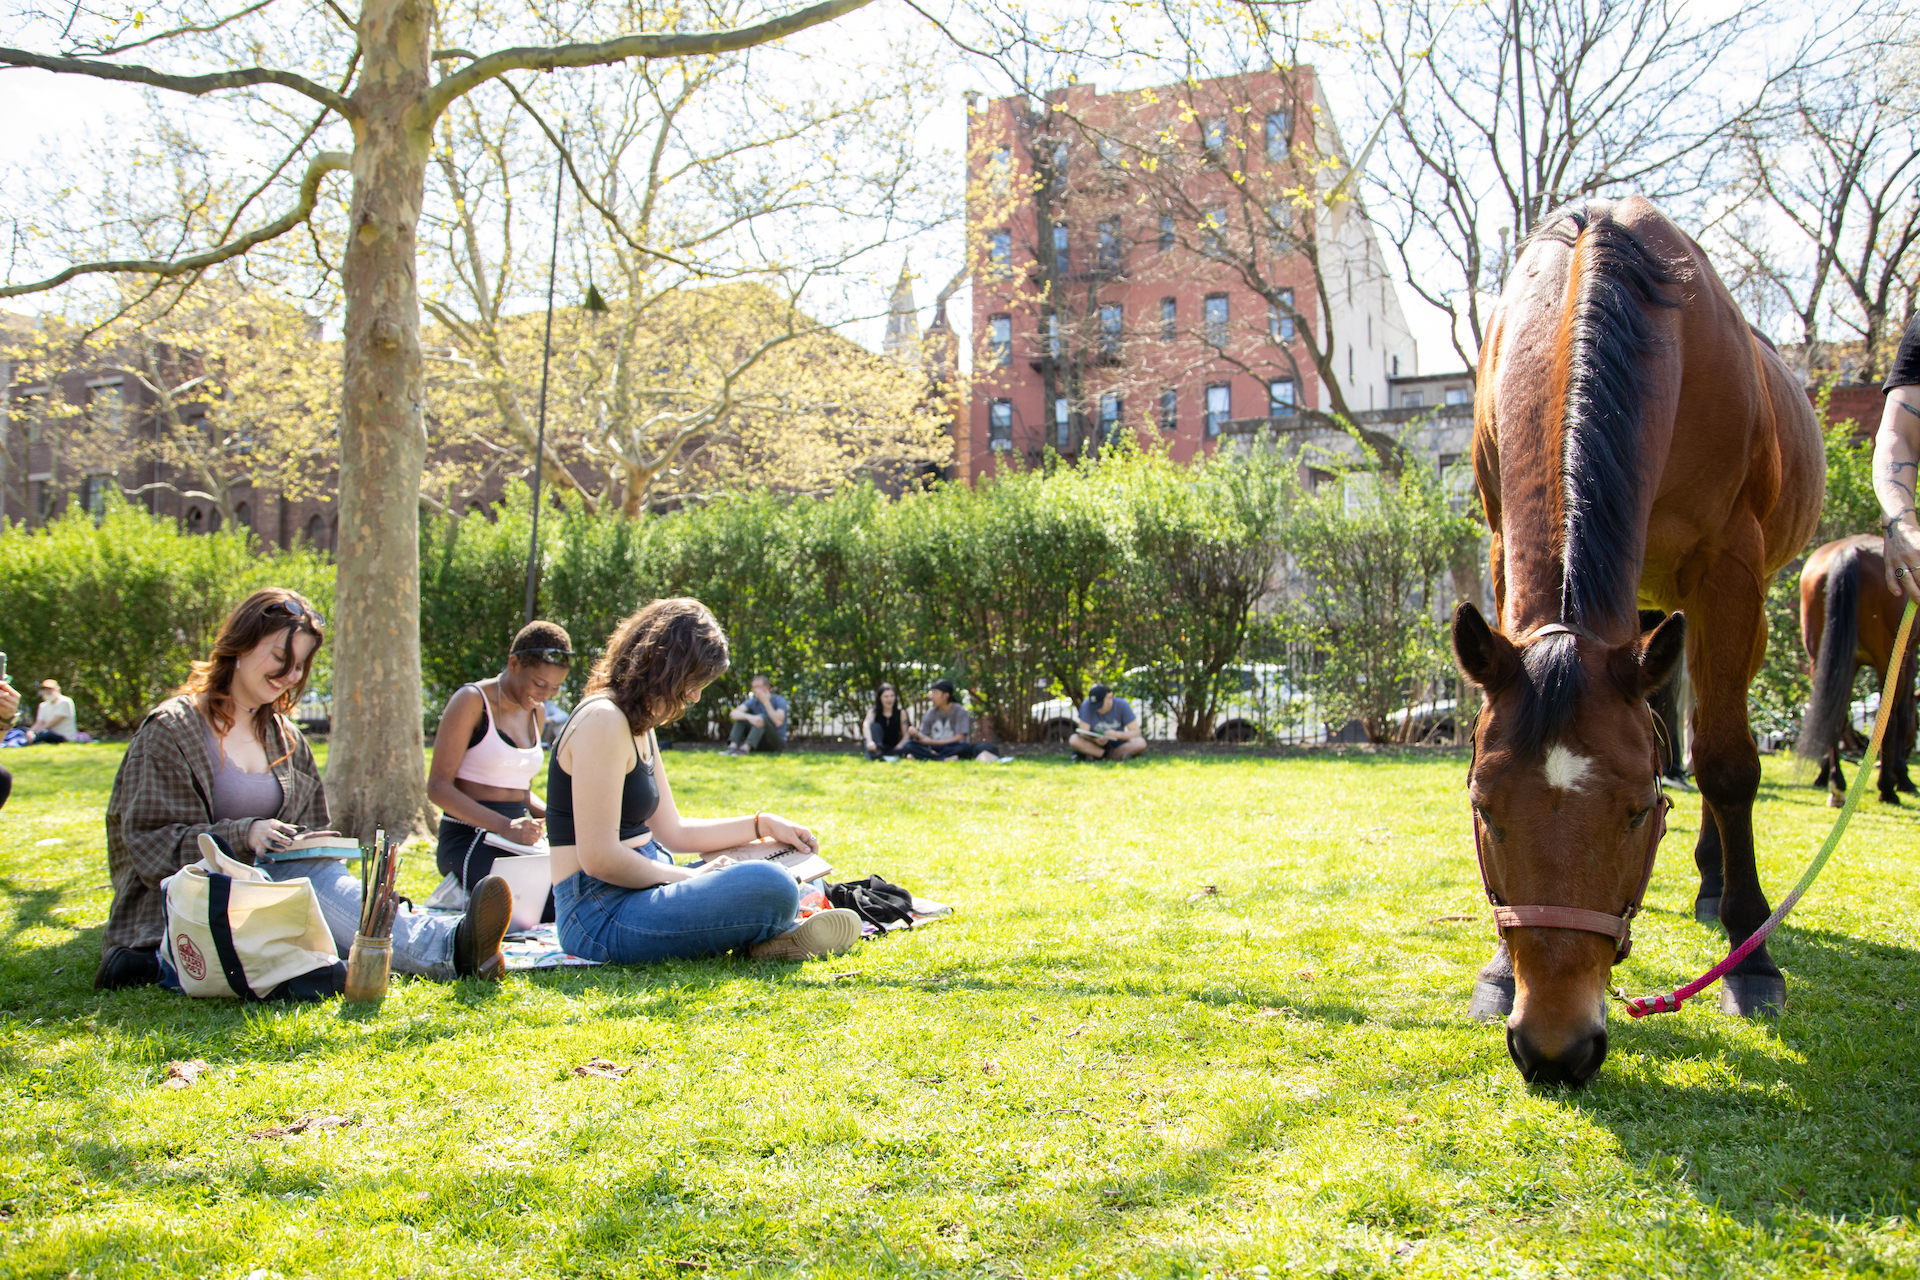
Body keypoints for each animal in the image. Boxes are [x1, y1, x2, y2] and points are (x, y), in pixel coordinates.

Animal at [1459, 195, 1820, 1090]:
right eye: (1485, 809)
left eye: (1636, 811)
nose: (1555, 1047)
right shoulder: (1500, 544)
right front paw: (1498, 969)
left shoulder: (1730, 567)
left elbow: (1726, 763)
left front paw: (1754, 958)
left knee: (1715, 733)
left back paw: (1721, 891)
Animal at [1797, 537, 1920, 805]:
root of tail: (1849, 551)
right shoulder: (1907, 661)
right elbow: (1903, 715)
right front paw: (1902, 777)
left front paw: (1822, 772)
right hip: (1887, 659)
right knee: (1888, 718)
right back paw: (1886, 788)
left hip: (1821, 658)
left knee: (1834, 714)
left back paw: (1837, 786)